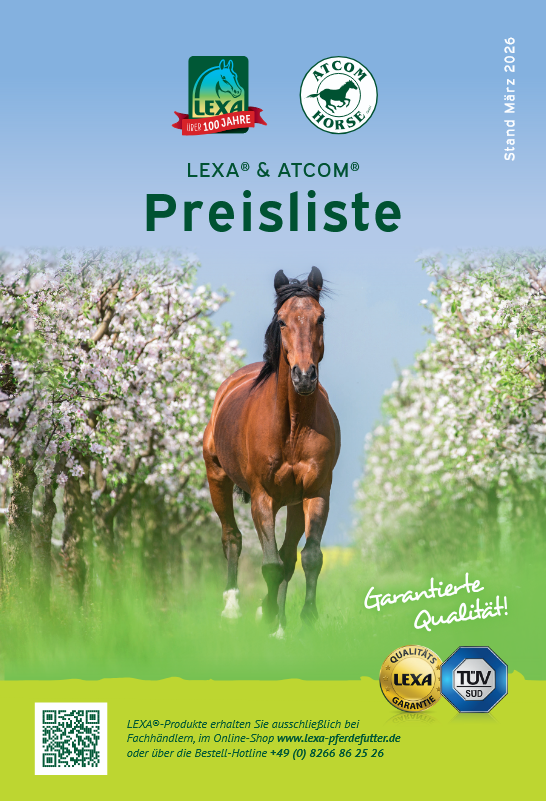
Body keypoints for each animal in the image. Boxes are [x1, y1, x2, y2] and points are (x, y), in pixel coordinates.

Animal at [203, 267, 341, 637]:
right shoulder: (262, 497)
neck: (292, 427)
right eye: (281, 321)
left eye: (320, 317)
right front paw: (267, 617)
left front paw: (304, 617)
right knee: (232, 538)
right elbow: (269, 564)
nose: (304, 376)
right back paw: (232, 608)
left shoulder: (316, 491)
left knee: (288, 555)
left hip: (291, 503)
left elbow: (308, 558)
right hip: (217, 478)